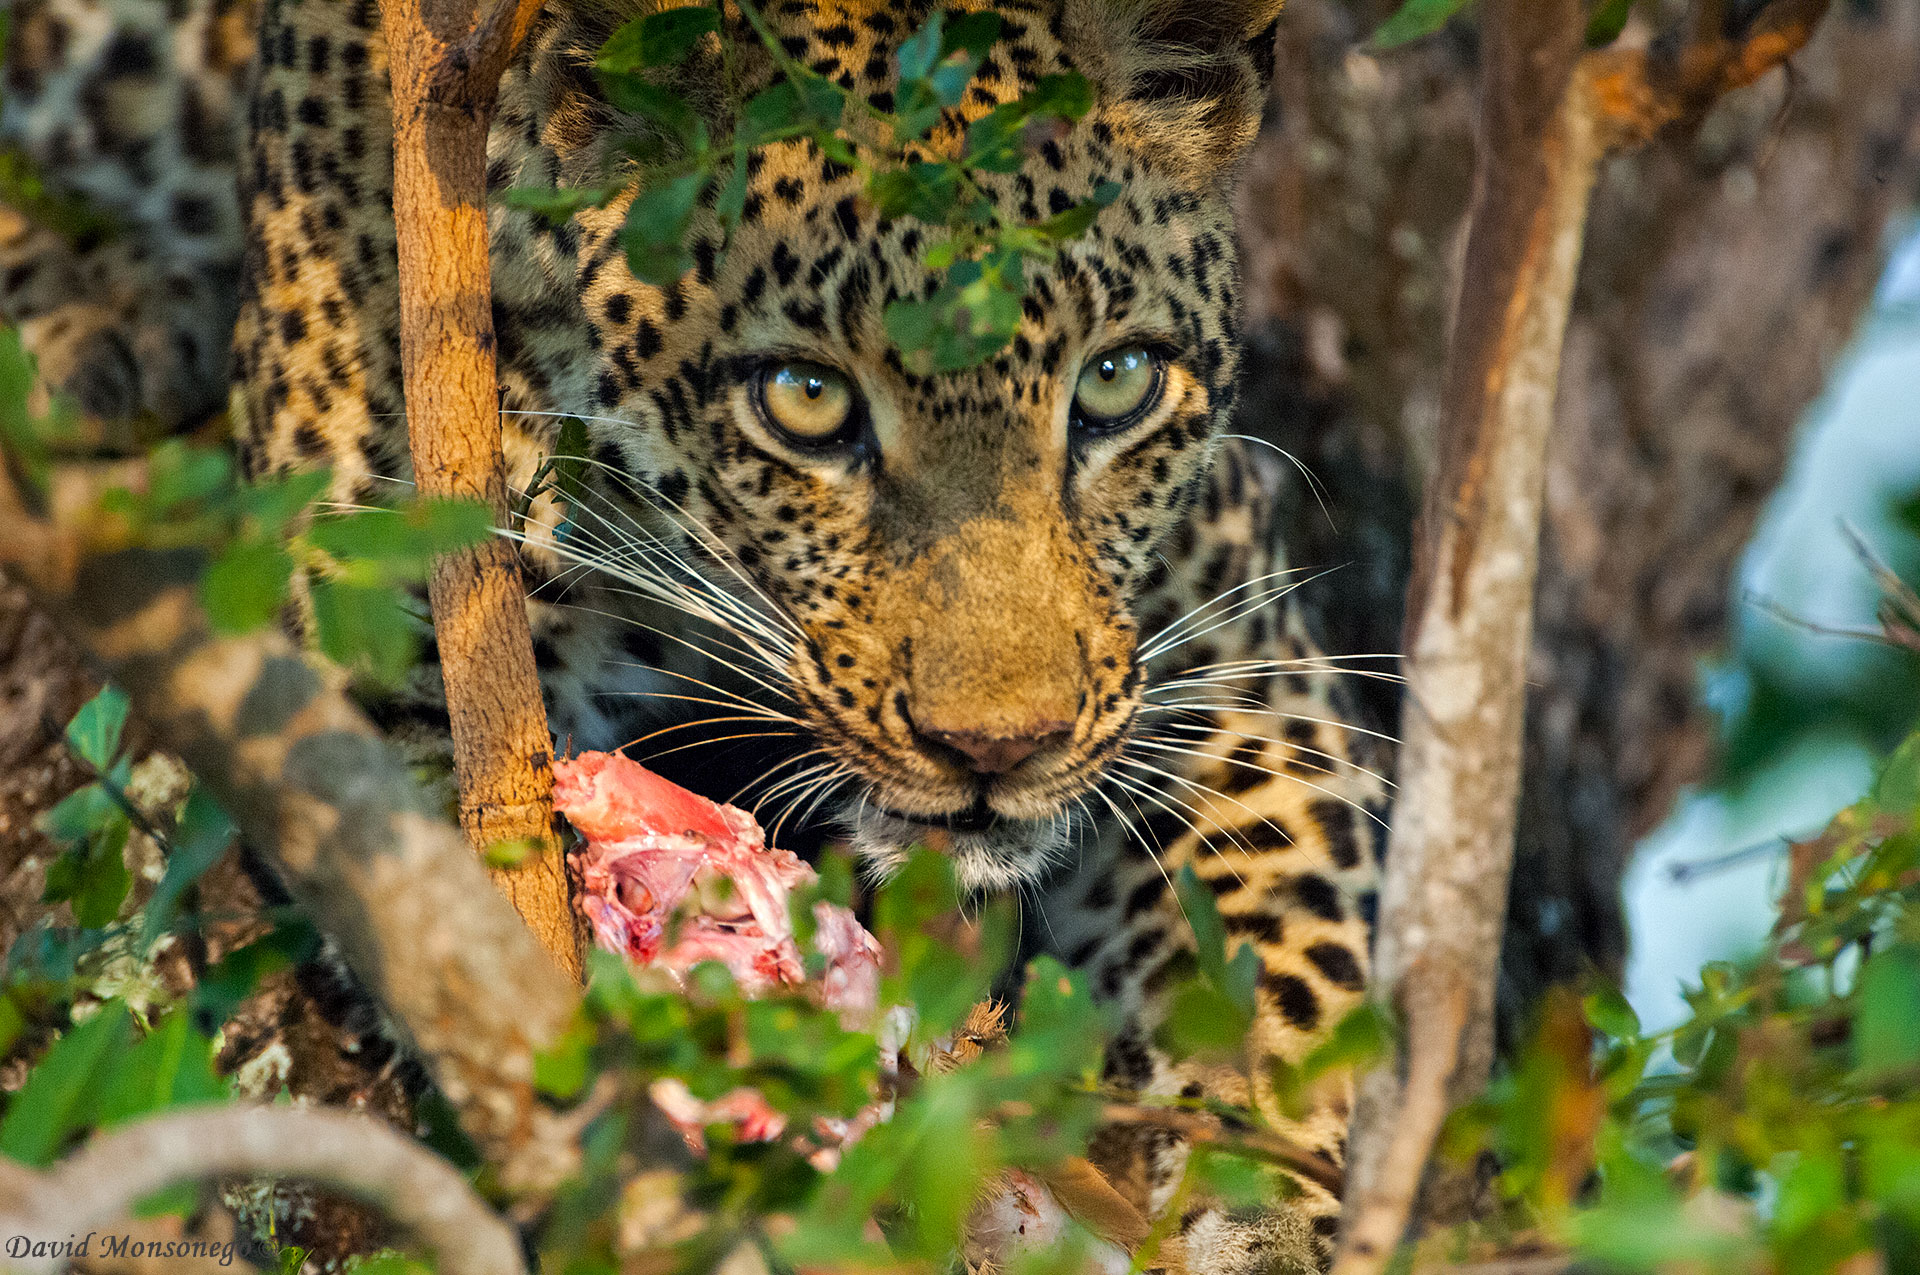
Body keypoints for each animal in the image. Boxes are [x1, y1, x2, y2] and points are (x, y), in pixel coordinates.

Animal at [0, 4, 1382, 1267]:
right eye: (806, 401)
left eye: (1117, 382)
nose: (998, 752)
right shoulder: (364, 659)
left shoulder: (1230, 673)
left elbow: (1277, 987)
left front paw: (1265, 1221)